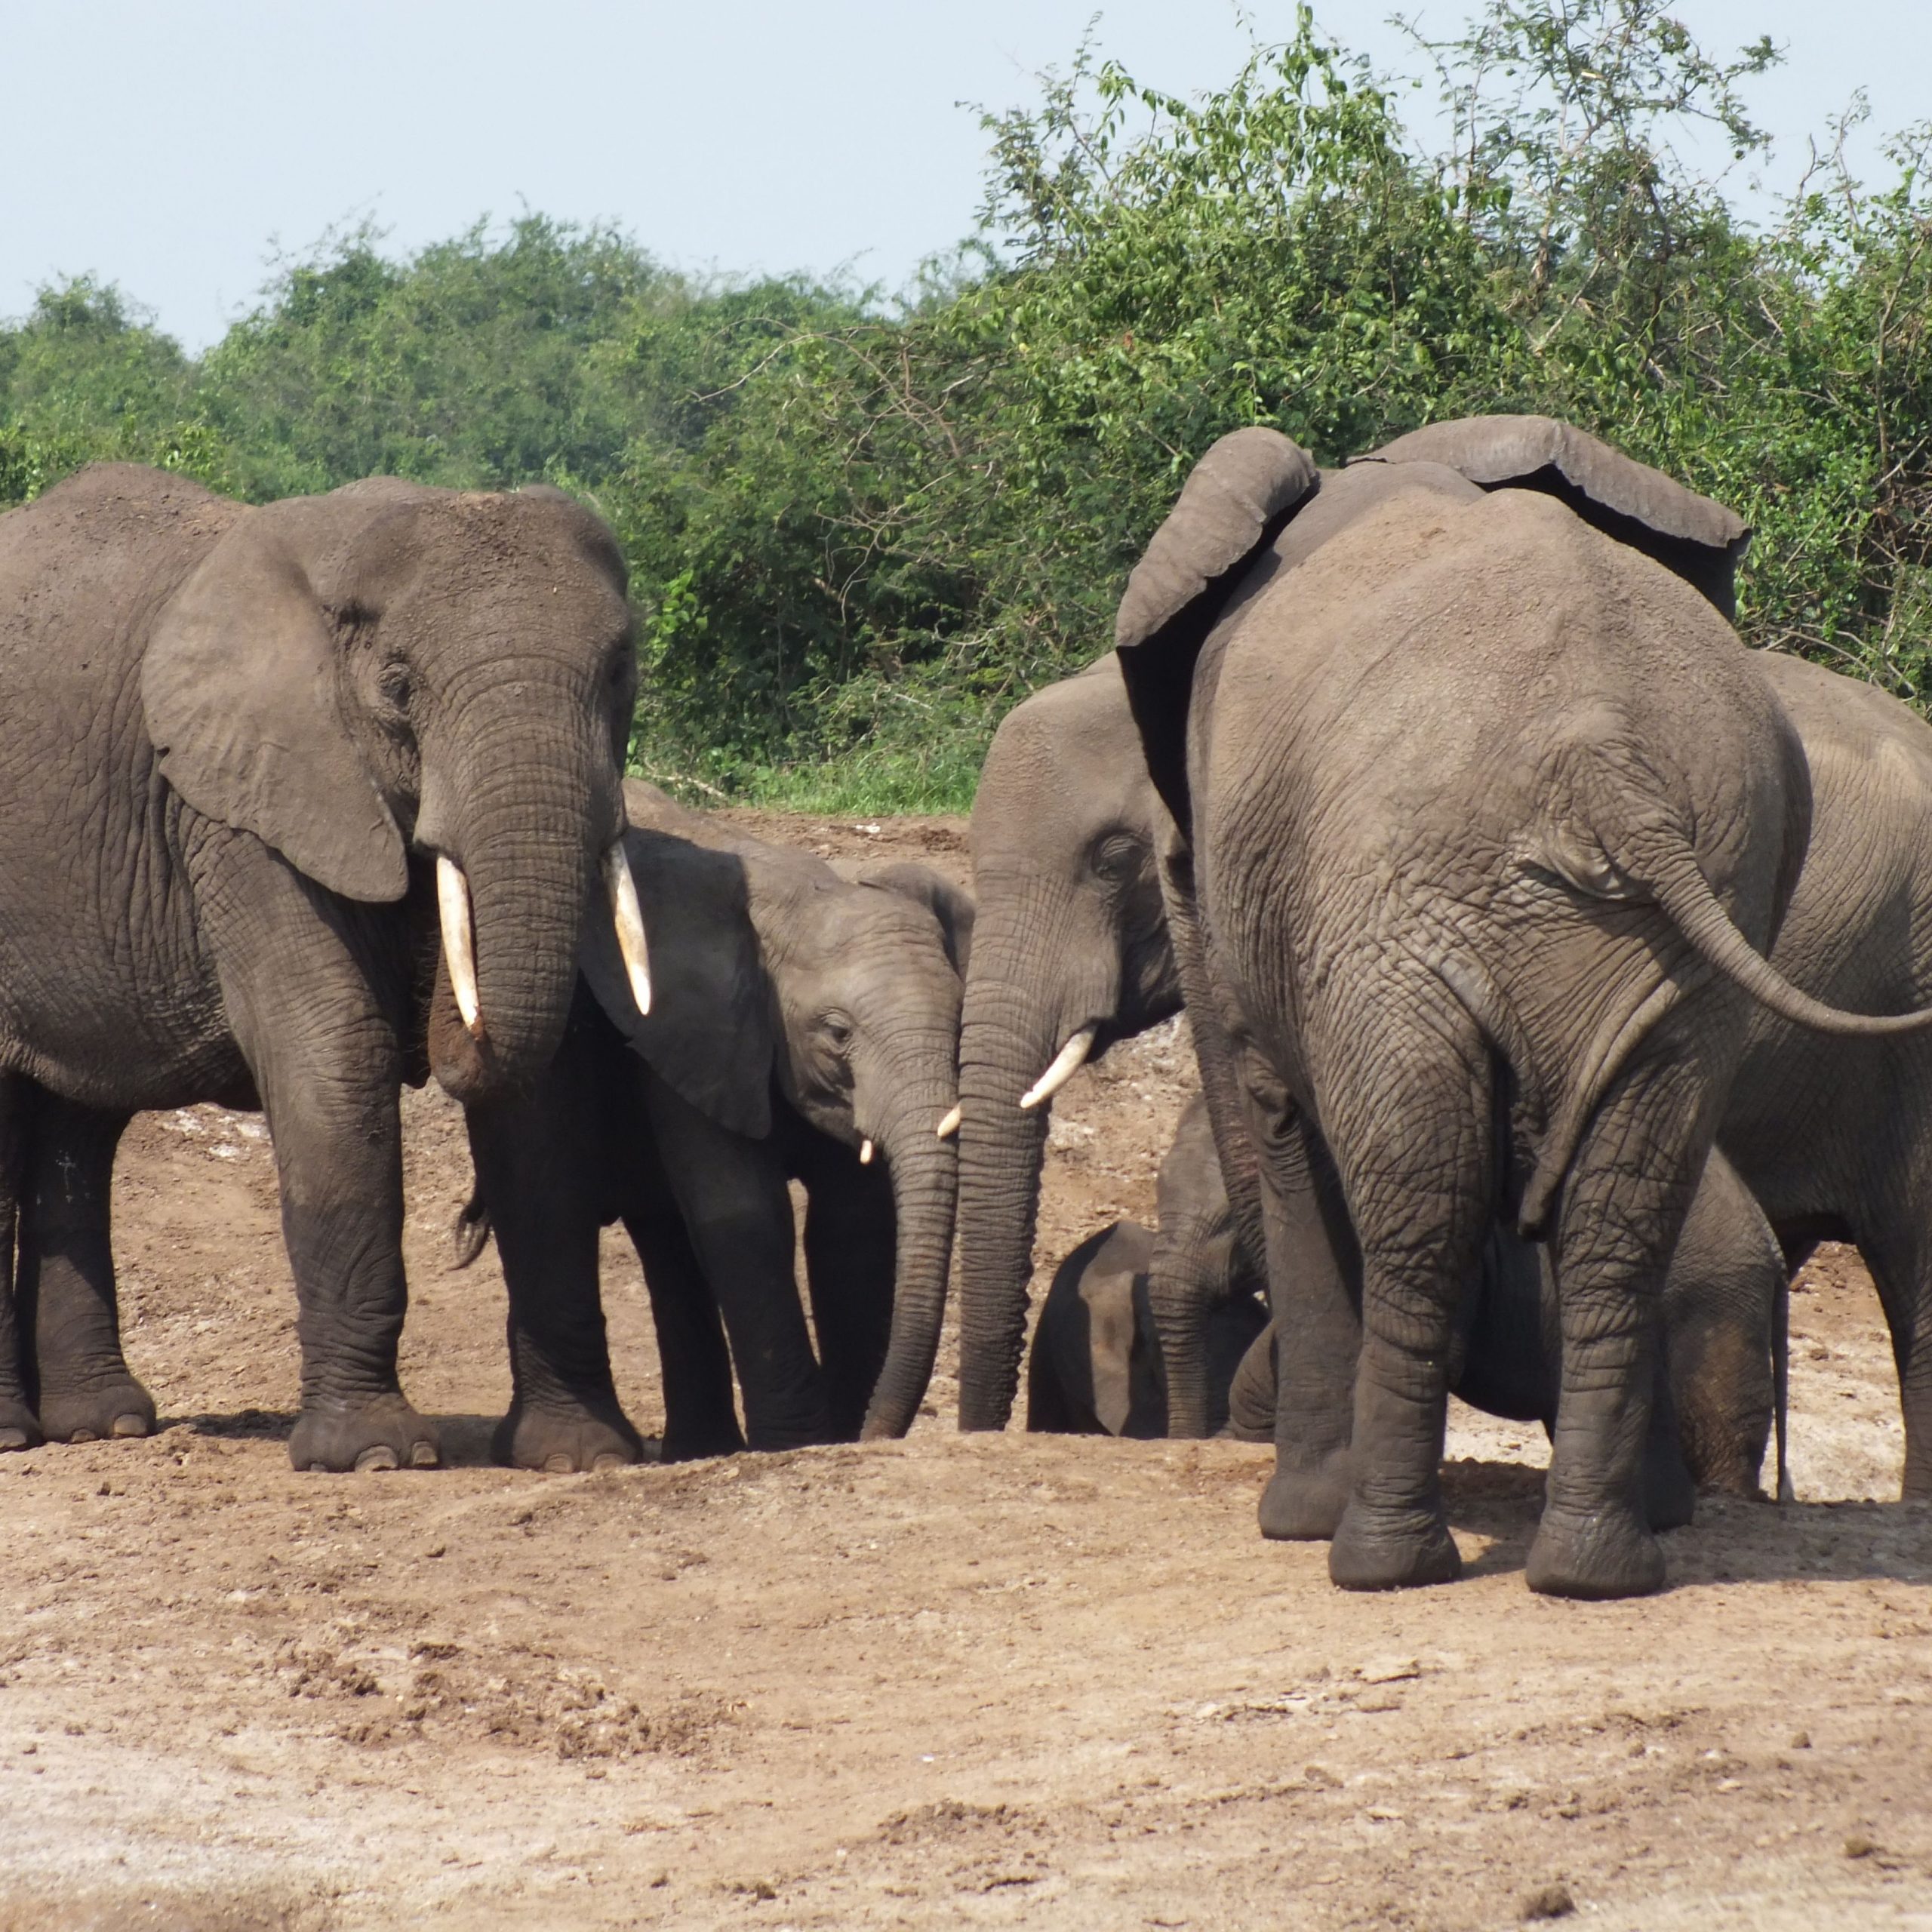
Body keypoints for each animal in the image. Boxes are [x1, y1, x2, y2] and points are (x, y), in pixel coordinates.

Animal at [0, 463, 653, 1460]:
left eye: (621, 673)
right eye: (397, 685)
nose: (463, 1230)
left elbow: (548, 1096)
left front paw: (580, 1451)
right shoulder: (239, 808)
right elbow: (335, 1047)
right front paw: (375, 1455)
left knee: (81, 1125)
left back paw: (102, 1423)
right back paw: (17, 1433)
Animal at [452, 780, 966, 1460]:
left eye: (961, 1021)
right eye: (837, 1034)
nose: (877, 1433)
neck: (802, 899)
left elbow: (852, 1223)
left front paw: (841, 1436)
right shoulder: (692, 1034)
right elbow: (744, 1214)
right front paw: (796, 1445)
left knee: (668, 1241)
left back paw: (699, 1447)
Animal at [1112, 415, 1932, 1592]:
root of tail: (1604, 762)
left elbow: (1286, 1133)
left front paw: (1294, 1522)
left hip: (1388, 914)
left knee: (1421, 1202)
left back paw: (1383, 1562)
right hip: (1676, 938)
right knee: (1624, 1205)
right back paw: (1601, 1565)